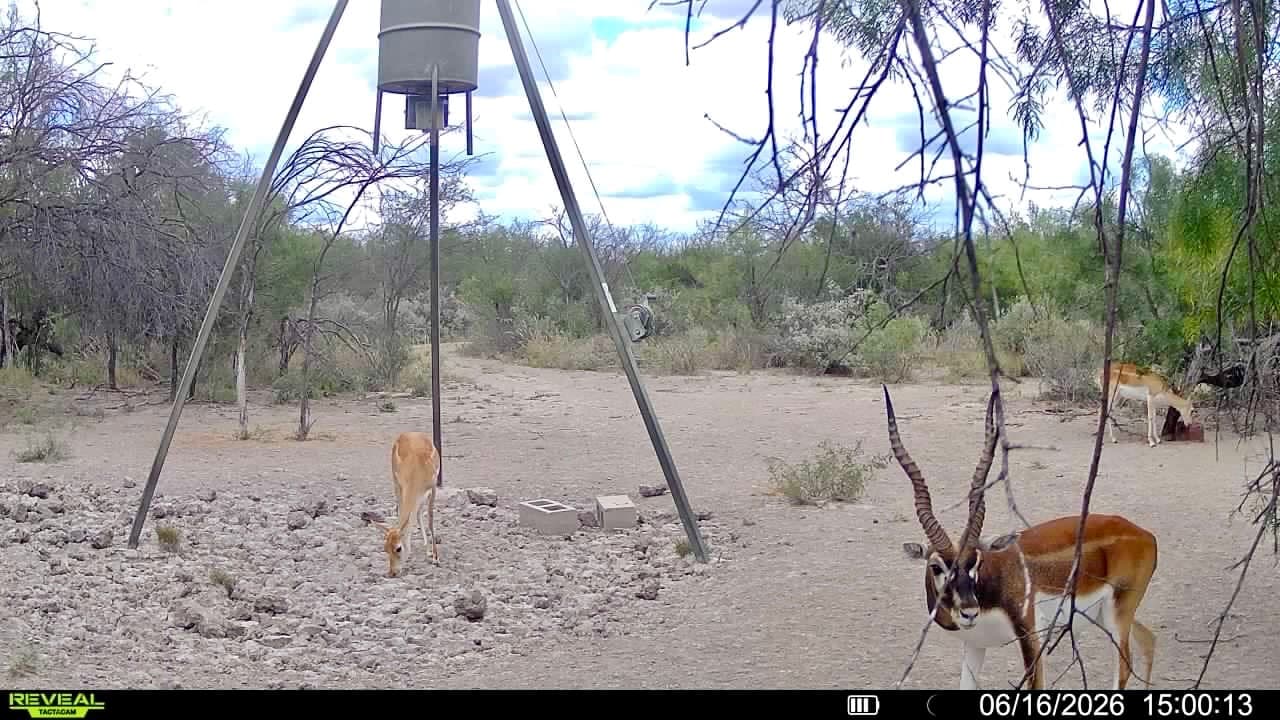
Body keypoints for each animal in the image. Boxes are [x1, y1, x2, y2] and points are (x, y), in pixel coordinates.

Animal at [368, 431, 440, 577]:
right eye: (385, 548)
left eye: (398, 548)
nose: (392, 572)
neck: (416, 472)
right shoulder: (402, 486)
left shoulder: (433, 487)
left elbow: (430, 521)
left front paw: (436, 558)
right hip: (395, 481)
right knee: (415, 513)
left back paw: (428, 551)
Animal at [883, 385, 1159, 690]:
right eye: (936, 566)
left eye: (977, 562)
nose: (968, 611)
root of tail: (1145, 535)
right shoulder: (975, 644)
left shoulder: (1030, 635)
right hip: (1110, 616)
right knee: (1149, 639)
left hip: (1116, 615)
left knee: (1124, 667)